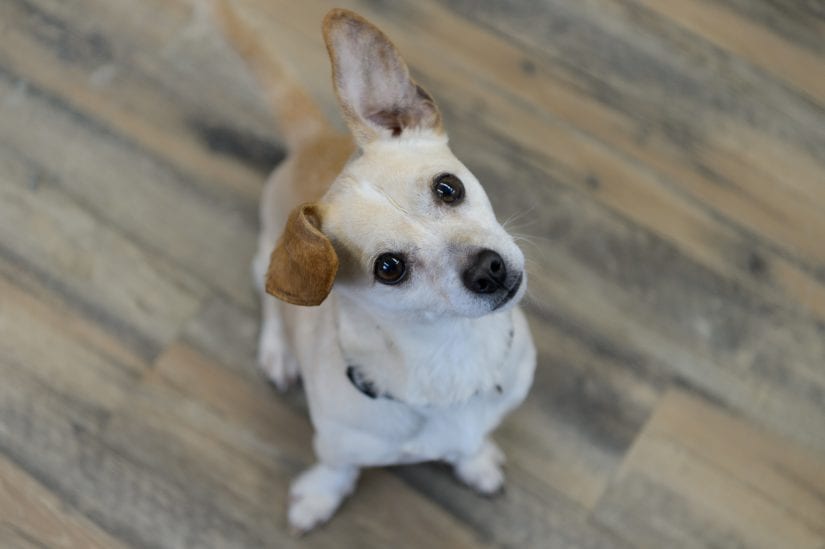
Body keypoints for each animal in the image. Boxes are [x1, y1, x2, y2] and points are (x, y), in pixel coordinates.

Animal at [214, 3, 536, 532]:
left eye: (448, 187)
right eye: (389, 268)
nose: (487, 269)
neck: (451, 353)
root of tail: (315, 138)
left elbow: (472, 444)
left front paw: (477, 462)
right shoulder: (337, 441)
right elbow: (337, 468)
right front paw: (319, 497)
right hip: (263, 258)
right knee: (271, 306)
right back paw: (279, 352)